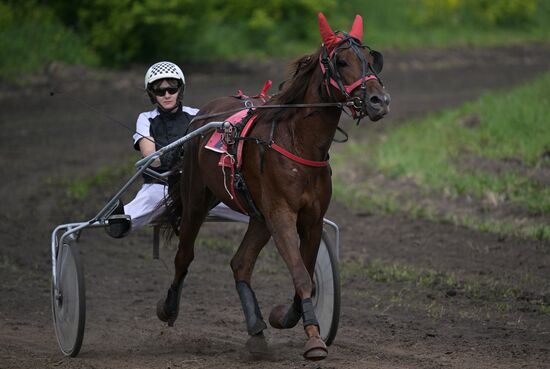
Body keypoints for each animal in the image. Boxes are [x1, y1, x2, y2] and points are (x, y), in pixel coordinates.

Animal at [155, 12, 392, 360]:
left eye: (371, 60)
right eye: (341, 61)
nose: (379, 101)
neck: (298, 144)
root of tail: (204, 114)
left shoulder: (311, 219)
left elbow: (307, 276)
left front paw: (284, 316)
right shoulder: (281, 215)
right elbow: (301, 275)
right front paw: (314, 340)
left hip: (258, 216)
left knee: (240, 264)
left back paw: (256, 331)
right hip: (197, 199)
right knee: (184, 255)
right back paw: (168, 308)